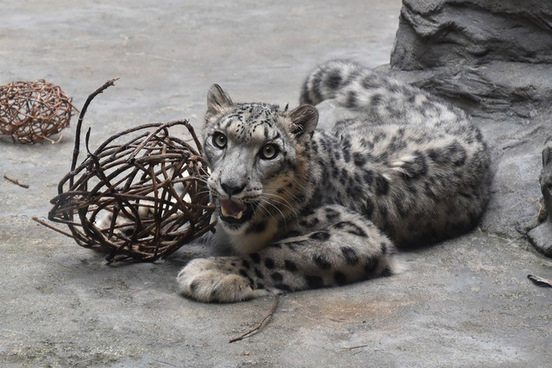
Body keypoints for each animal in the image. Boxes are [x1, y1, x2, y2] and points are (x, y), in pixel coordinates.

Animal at [175, 59, 490, 302]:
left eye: (269, 151)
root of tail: (457, 121)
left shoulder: (359, 235)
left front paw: (212, 272)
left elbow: (280, 253)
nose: (230, 185)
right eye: (219, 139)